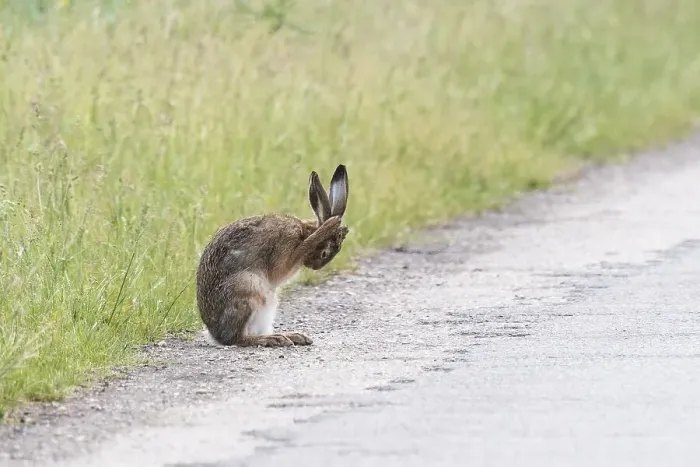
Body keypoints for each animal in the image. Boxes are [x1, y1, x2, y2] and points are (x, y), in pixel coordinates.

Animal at [196, 164, 350, 347]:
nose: (315, 267)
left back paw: (292, 336)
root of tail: (214, 334)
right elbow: (286, 263)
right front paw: (329, 225)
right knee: (236, 338)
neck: (303, 231)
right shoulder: (285, 244)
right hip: (248, 288)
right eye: (325, 253)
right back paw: (274, 338)